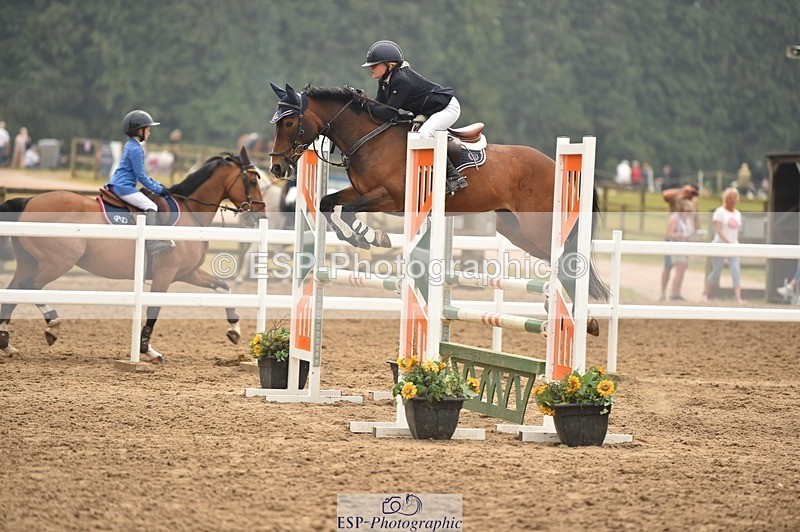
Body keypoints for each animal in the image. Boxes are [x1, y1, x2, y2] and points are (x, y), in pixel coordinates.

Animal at [0, 147, 265, 360]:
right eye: (253, 182)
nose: (260, 215)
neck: (191, 212)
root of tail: (29, 201)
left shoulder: (187, 272)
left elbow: (224, 288)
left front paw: (234, 329)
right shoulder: (166, 274)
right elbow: (154, 310)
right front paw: (147, 349)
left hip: (30, 262)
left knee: (14, 292)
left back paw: (6, 343)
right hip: (58, 261)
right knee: (30, 287)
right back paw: (52, 324)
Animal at [267, 83, 609, 315]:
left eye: (288, 122)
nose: (277, 167)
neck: (370, 138)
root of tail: (557, 164)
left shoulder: (392, 198)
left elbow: (348, 210)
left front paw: (371, 236)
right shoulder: (363, 191)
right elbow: (328, 204)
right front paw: (358, 238)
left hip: (538, 226)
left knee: (566, 260)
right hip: (515, 230)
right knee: (556, 260)